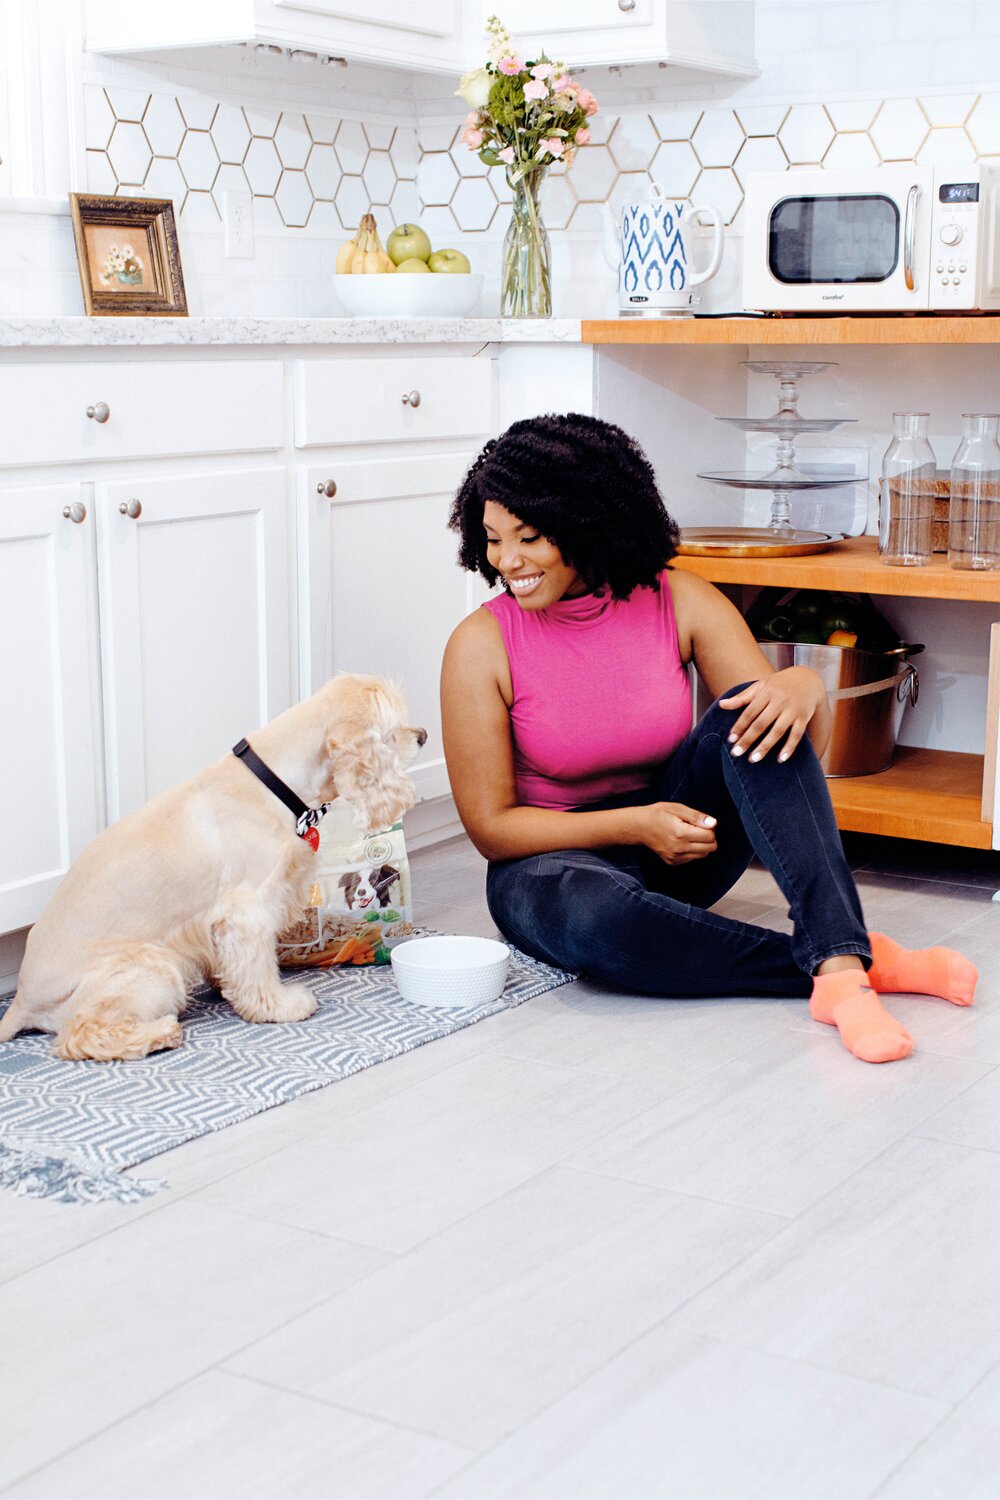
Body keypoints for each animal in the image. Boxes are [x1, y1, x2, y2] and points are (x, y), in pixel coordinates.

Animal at [0, 675, 425, 1062]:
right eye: (392, 732)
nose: (422, 735)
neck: (273, 782)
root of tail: (21, 1002)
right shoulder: (248, 911)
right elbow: (257, 969)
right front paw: (281, 1006)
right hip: (153, 966)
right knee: (80, 1033)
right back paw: (160, 1033)